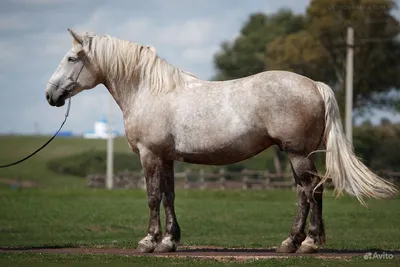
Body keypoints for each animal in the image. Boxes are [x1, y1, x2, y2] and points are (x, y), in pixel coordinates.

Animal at [44, 29, 396, 255]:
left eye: (72, 58)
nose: (50, 95)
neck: (149, 91)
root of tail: (314, 84)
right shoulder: (166, 157)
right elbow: (169, 197)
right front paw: (169, 242)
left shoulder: (150, 155)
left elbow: (152, 197)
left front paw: (148, 241)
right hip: (298, 154)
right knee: (307, 191)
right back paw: (293, 243)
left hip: (297, 153)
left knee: (310, 191)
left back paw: (305, 243)